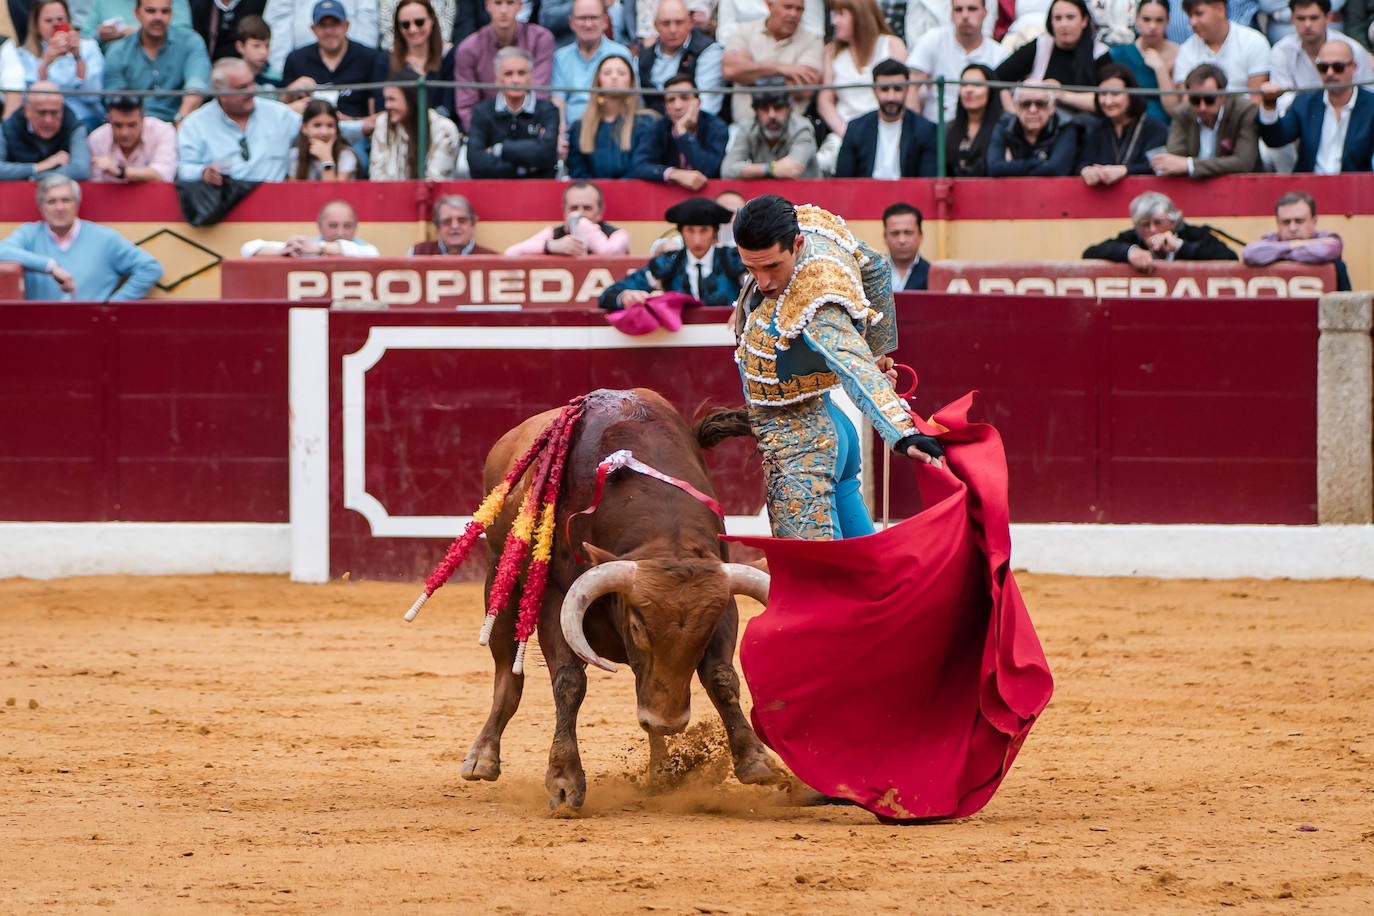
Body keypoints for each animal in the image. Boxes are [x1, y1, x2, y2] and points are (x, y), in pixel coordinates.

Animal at [464, 387, 780, 807]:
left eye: (705, 631)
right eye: (636, 626)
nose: (668, 722)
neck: (665, 534)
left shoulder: (723, 602)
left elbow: (721, 676)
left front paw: (754, 760)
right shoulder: (555, 600)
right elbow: (568, 682)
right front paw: (564, 779)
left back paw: (661, 770)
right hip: (500, 580)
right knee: (506, 671)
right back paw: (482, 757)